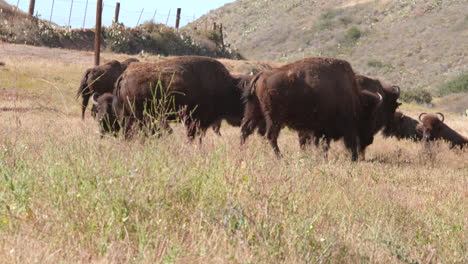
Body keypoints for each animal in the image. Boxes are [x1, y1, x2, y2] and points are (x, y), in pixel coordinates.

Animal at [239, 57, 386, 161]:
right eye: (371, 116)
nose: (370, 140)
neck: (355, 98)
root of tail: (262, 74)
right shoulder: (340, 128)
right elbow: (342, 143)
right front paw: (352, 159)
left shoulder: (317, 130)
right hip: (274, 118)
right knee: (270, 135)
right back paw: (280, 157)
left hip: (254, 111)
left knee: (246, 129)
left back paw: (242, 152)